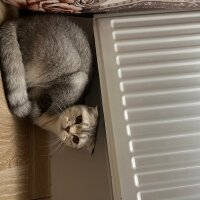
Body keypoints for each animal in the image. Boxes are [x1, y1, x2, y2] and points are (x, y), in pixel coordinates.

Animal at [0, 14, 98, 153]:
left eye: (76, 139)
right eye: (79, 119)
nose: (68, 129)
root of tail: (23, 20)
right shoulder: (76, 82)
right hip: (64, 60)